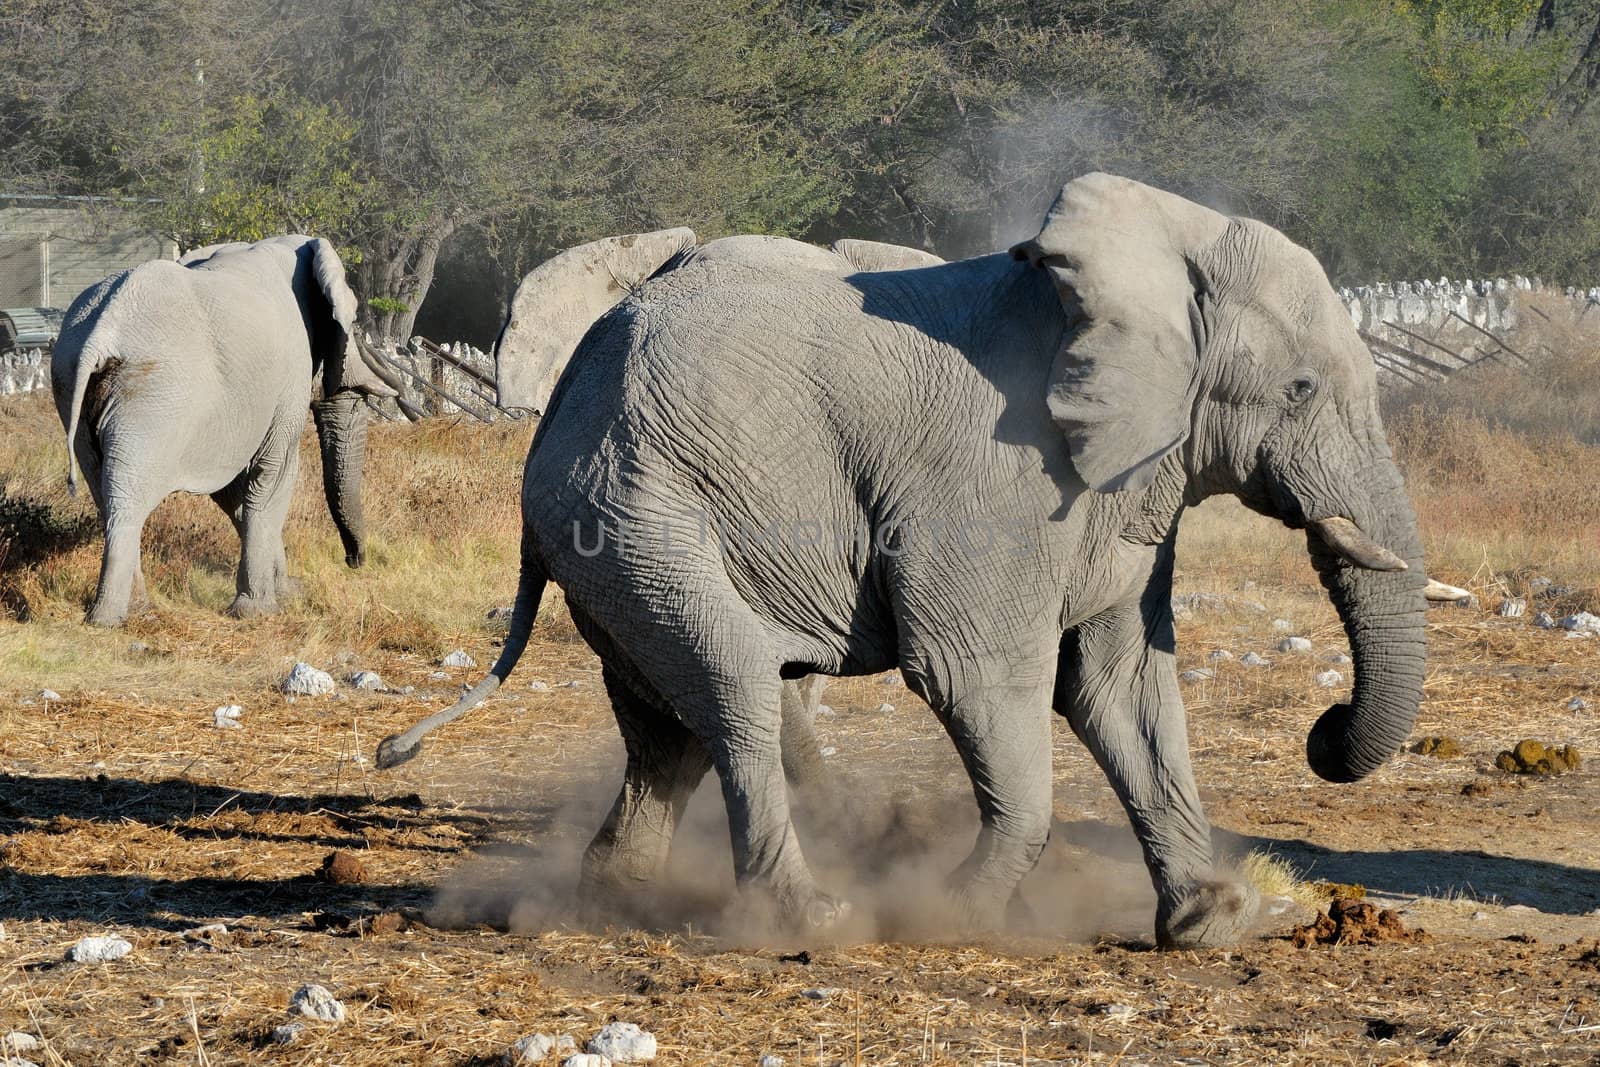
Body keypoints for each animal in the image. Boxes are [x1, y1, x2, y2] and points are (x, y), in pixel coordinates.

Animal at [54, 233, 398, 627]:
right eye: (351, 321)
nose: (354, 562)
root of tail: (101, 332)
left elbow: (233, 491)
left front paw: (287, 593)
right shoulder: (288, 381)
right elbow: (274, 477)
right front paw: (260, 611)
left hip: (70, 386)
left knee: (102, 490)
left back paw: (137, 610)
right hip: (153, 399)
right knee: (127, 498)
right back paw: (111, 620)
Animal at [384, 175, 1427, 953]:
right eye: (1299, 389)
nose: (1325, 731)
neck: (1140, 264)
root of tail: (561, 398)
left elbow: (1121, 685)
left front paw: (1214, 920)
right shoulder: (991, 480)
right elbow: (978, 676)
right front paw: (957, 915)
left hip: (616, 527)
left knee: (661, 722)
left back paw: (612, 901)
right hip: (636, 506)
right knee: (733, 686)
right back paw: (813, 921)